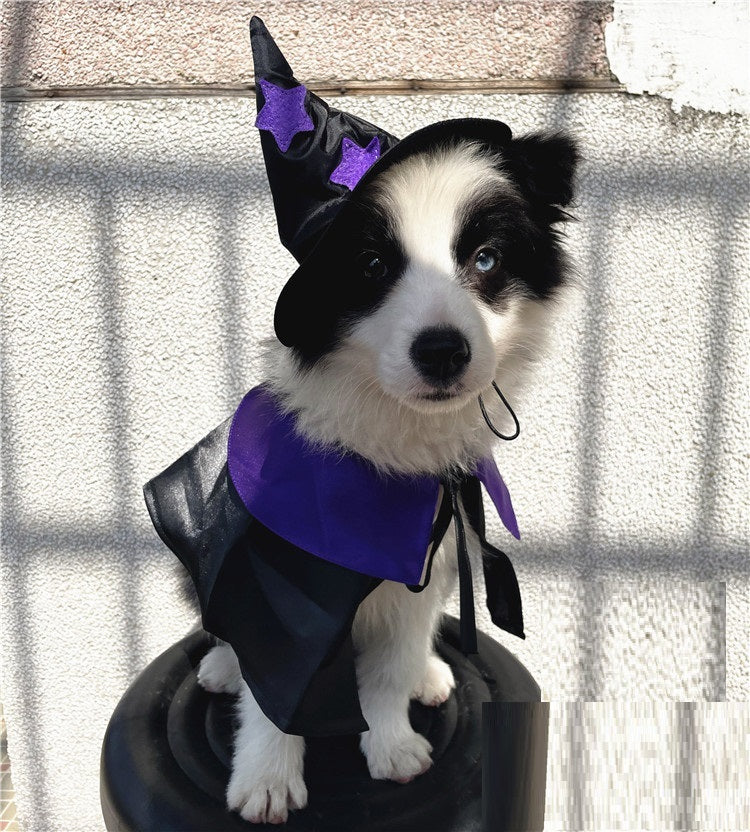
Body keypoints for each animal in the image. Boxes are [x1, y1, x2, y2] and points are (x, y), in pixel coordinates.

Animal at [189, 133, 580, 824]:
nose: (443, 352)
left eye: (485, 258)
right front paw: (266, 779)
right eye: (371, 264)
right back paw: (221, 667)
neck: (388, 449)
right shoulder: (275, 585)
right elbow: (274, 690)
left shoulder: (421, 565)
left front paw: (393, 744)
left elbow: (391, 666)